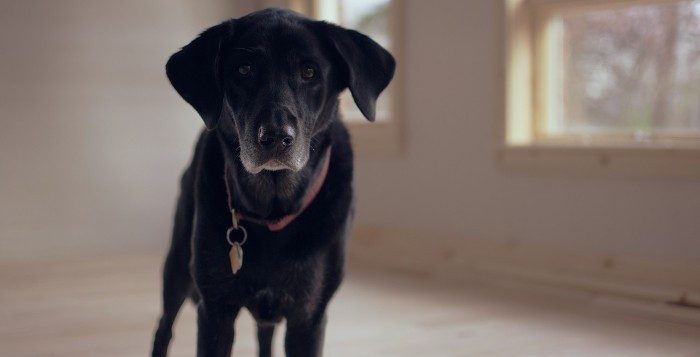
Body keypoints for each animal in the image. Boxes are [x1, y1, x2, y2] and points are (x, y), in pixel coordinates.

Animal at [151, 8, 396, 356]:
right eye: (244, 69)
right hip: (178, 263)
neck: (273, 209)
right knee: (164, 327)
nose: (276, 137)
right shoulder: (215, 310)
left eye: (309, 72)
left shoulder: (308, 315)